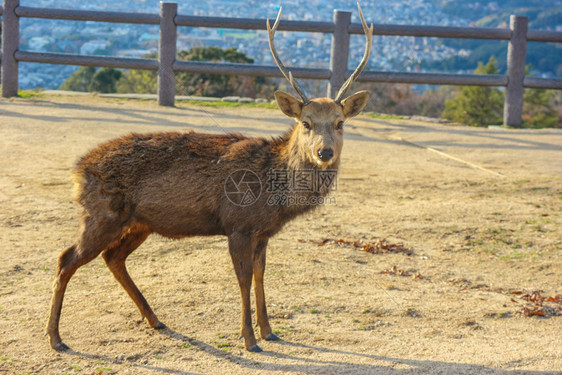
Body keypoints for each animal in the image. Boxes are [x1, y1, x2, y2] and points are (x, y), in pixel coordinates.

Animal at [47, 4, 372, 354]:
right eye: (306, 123)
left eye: (340, 123)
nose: (325, 152)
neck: (275, 192)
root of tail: (78, 170)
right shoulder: (238, 224)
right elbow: (243, 279)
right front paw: (249, 339)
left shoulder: (263, 232)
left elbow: (261, 274)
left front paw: (269, 331)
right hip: (102, 216)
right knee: (66, 259)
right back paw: (56, 338)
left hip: (138, 223)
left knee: (112, 257)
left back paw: (156, 320)